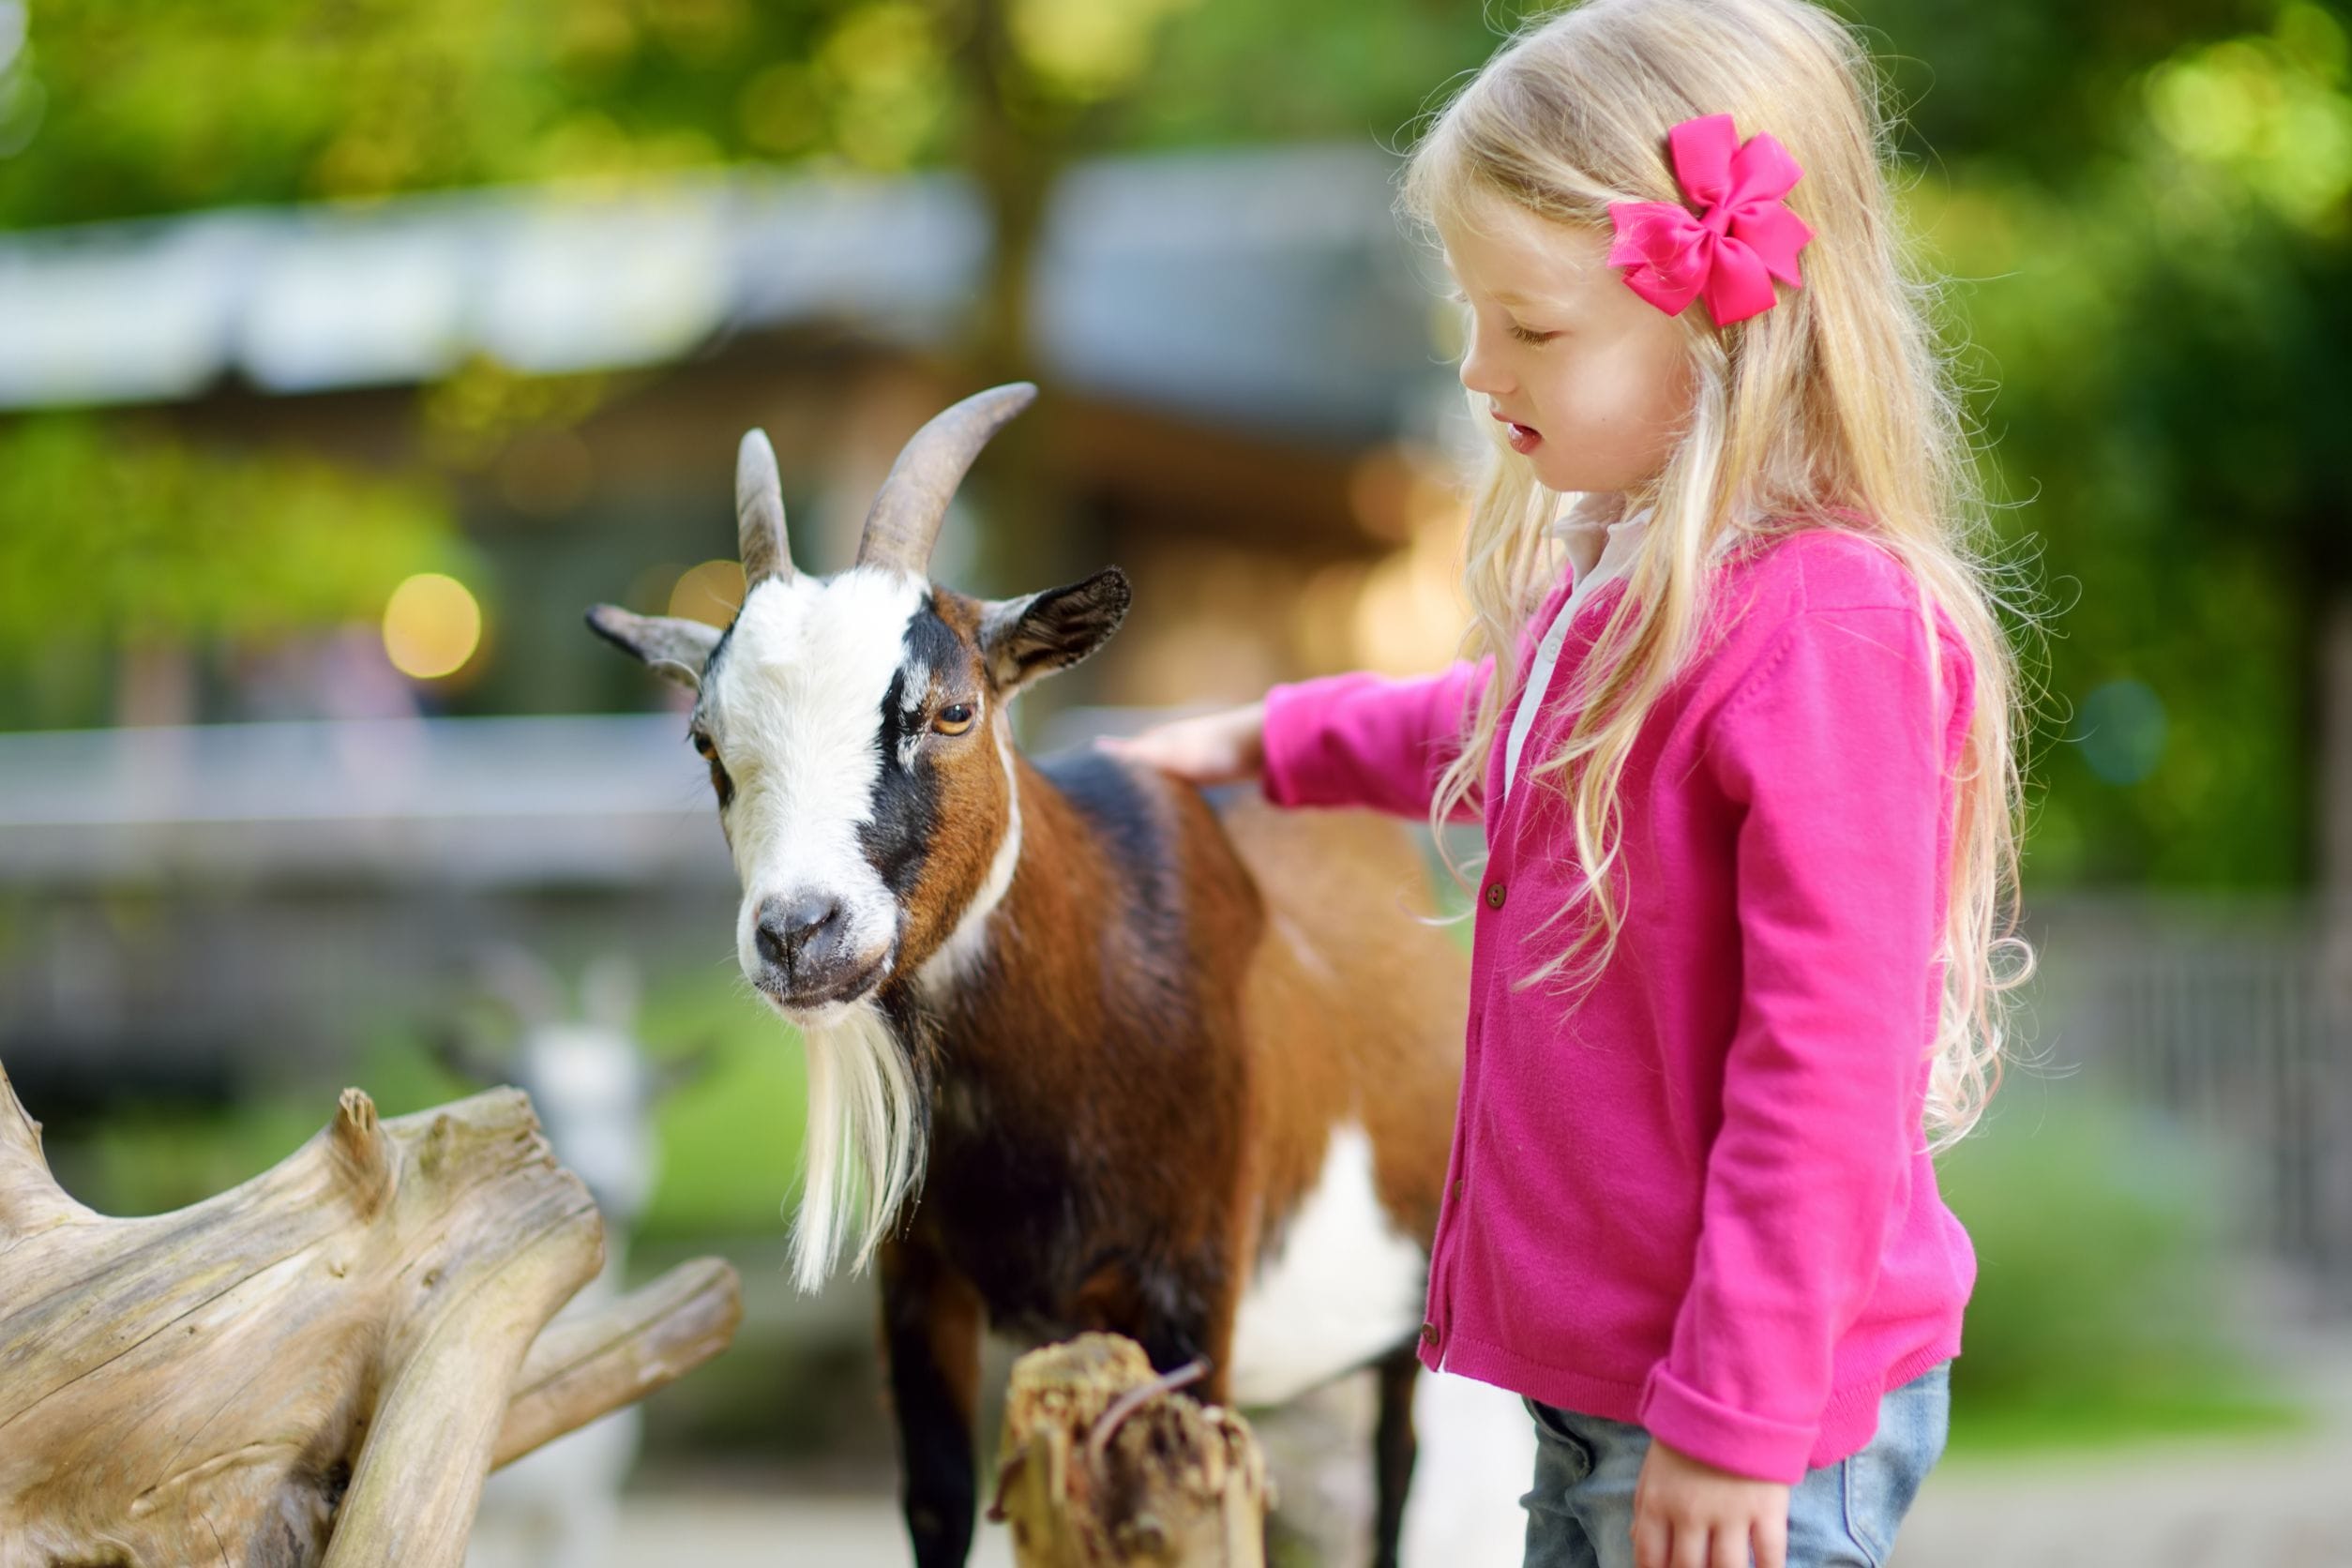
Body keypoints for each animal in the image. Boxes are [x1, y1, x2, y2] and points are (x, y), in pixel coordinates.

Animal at [587, 384, 1469, 1567]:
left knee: (1397, 1469)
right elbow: (936, 1505)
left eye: (953, 709)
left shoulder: (1193, 1294)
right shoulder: (920, 1291)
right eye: (704, 741)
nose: (797, 932)